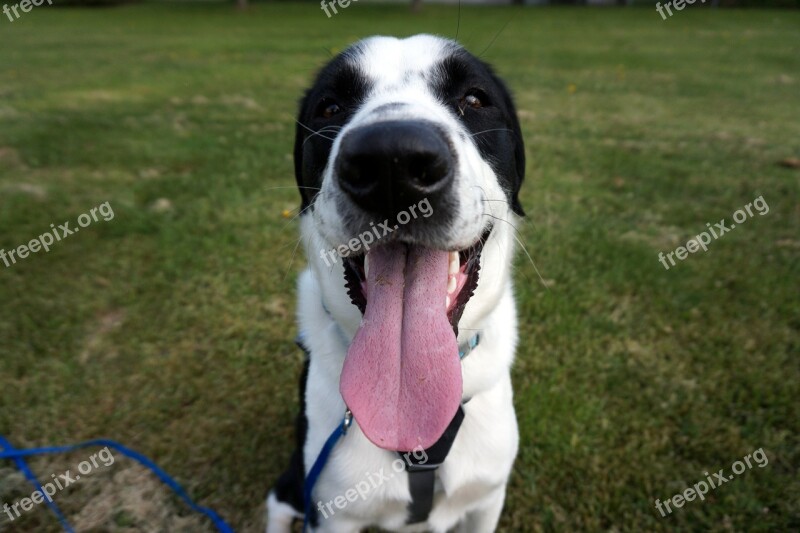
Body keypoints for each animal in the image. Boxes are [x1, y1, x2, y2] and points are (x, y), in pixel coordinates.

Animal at [268, 35, 528, 528]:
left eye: (474, 99)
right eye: (330, 107)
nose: (393, 160)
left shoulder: (488, 500)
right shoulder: (331, 515)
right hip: (290, 487)